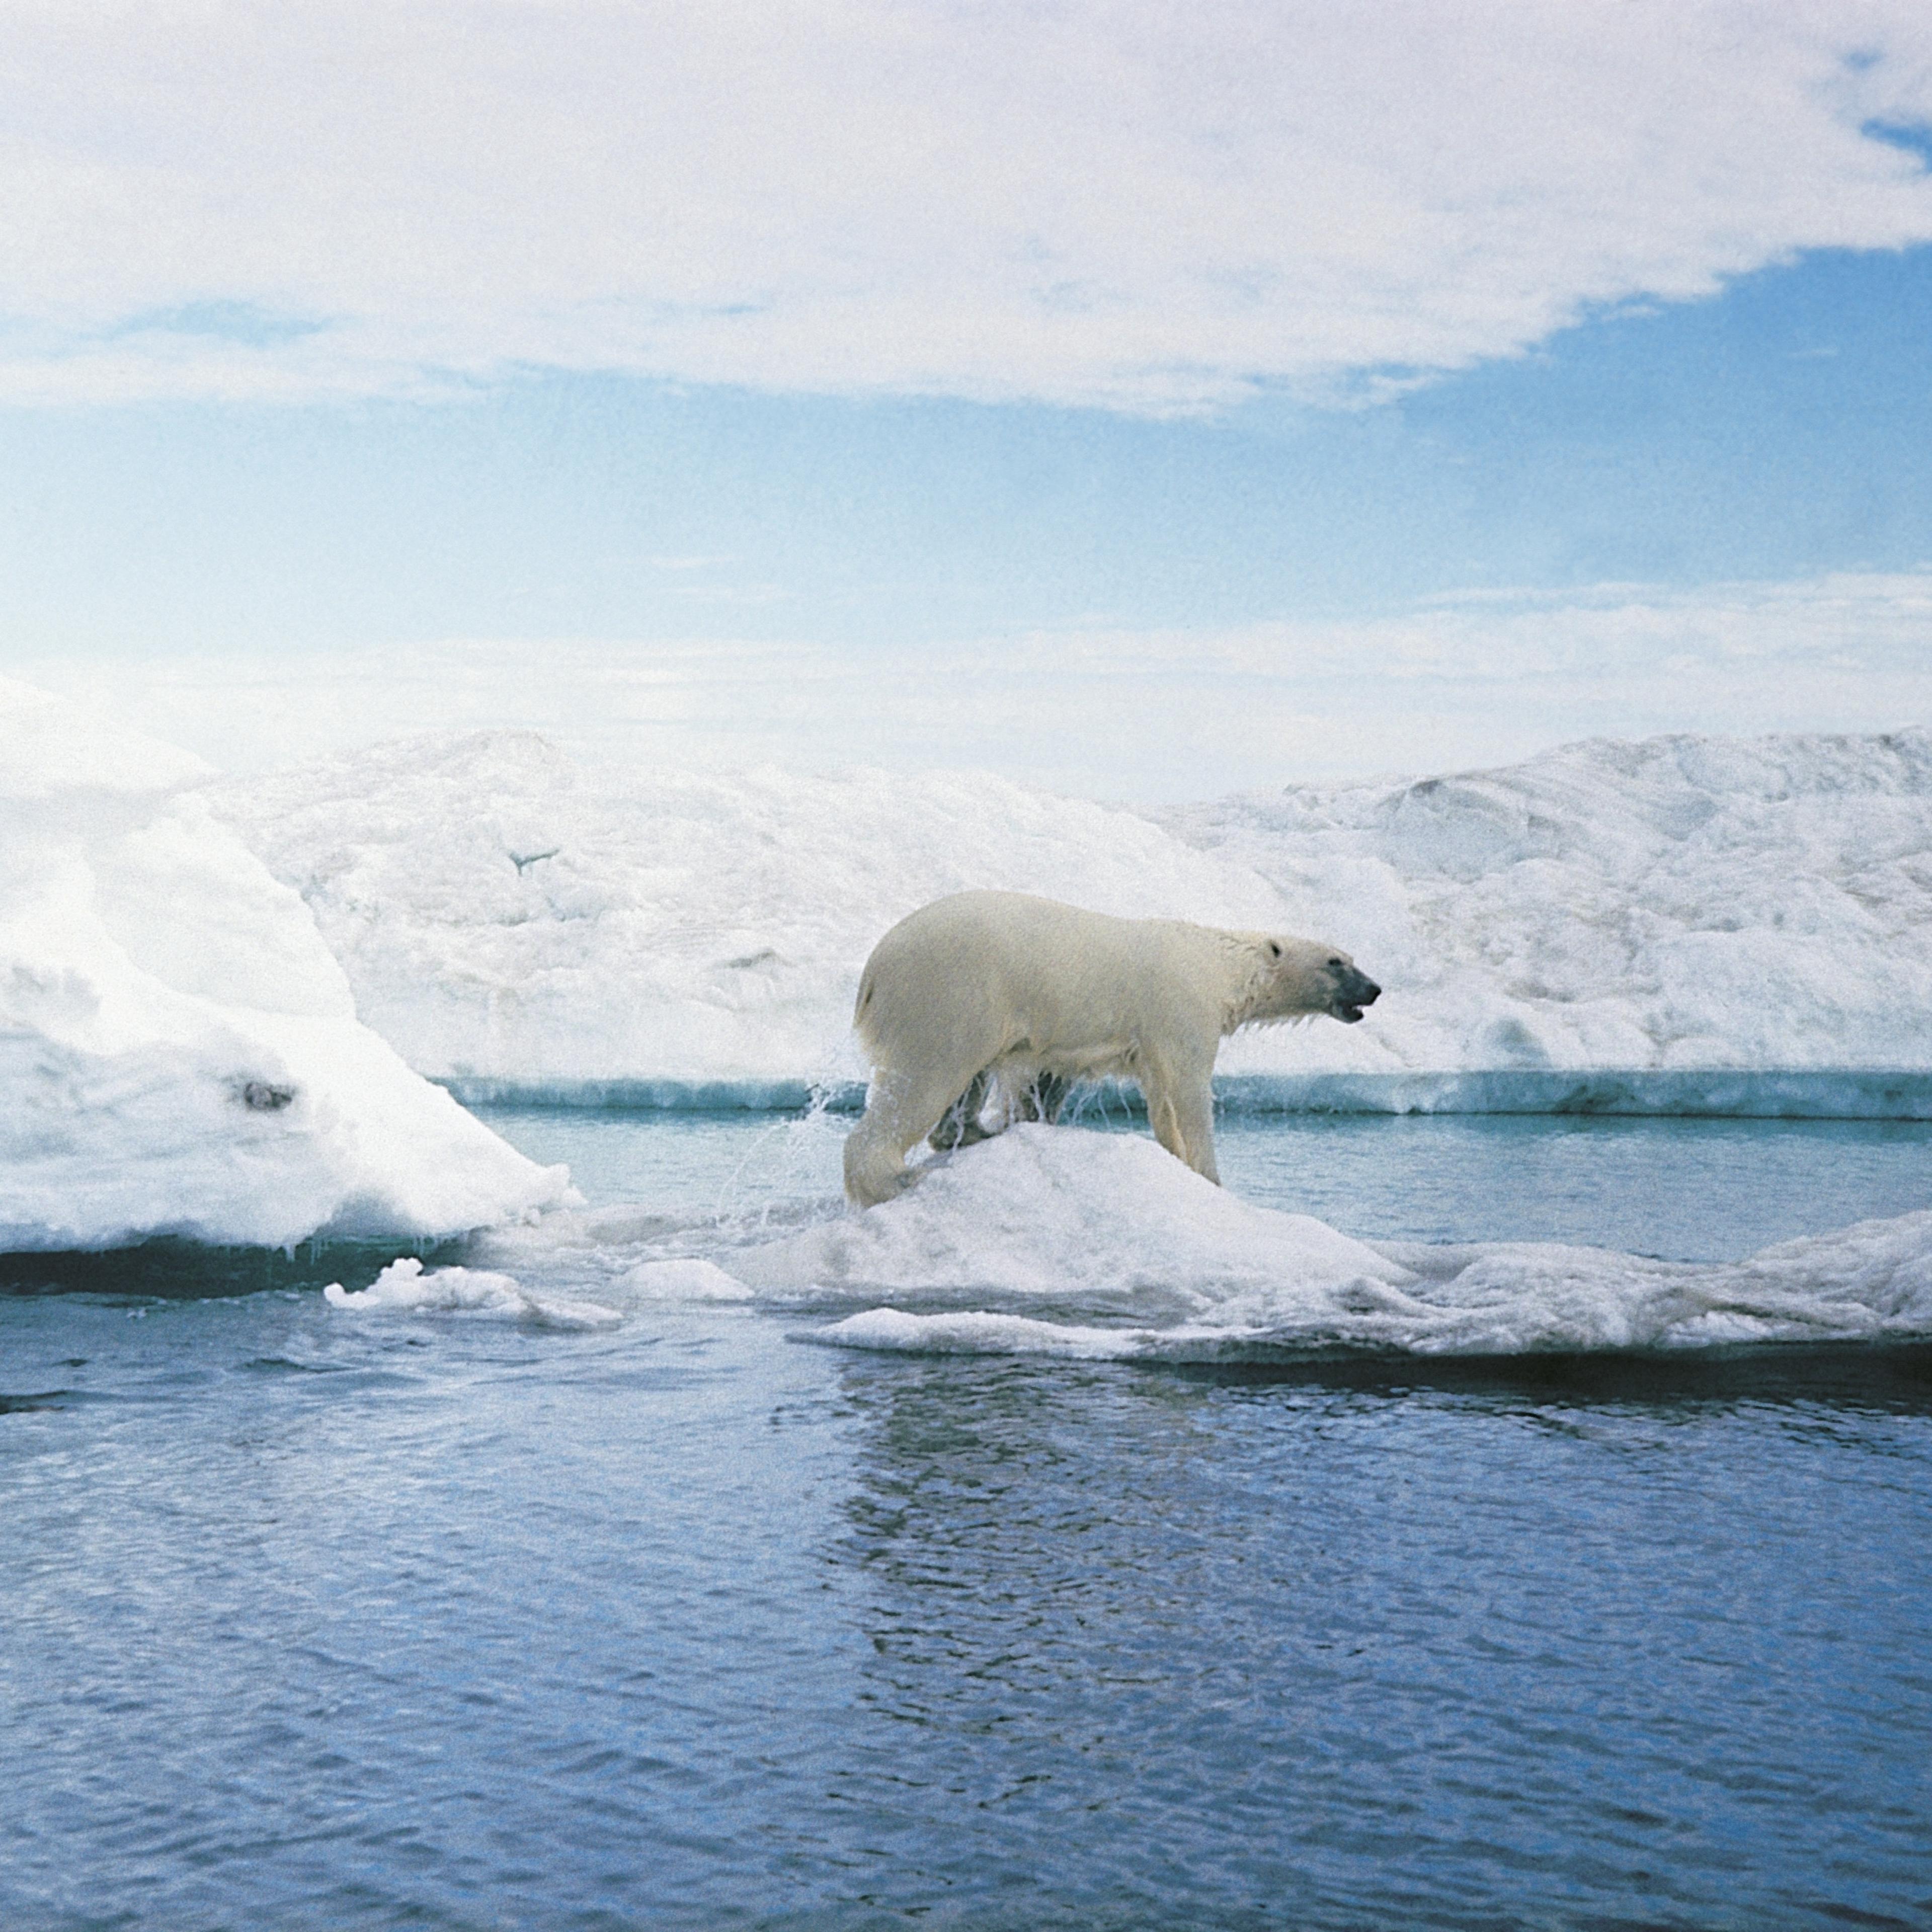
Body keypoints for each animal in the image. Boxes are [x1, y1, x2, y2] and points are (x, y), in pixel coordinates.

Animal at [842, 889, 1380, 1208]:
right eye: (1336, 962)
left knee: (966, 1082)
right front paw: (1209, 1177)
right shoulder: (1181, 1009)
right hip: (952, 994)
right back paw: (894, 1180)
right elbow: (1189, 1092)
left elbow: (1154, 1098)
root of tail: (875, 967)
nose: (1374, 989)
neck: (1218, 966)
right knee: (926, 1079)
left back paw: (975, 1131)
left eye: (1351, 957)